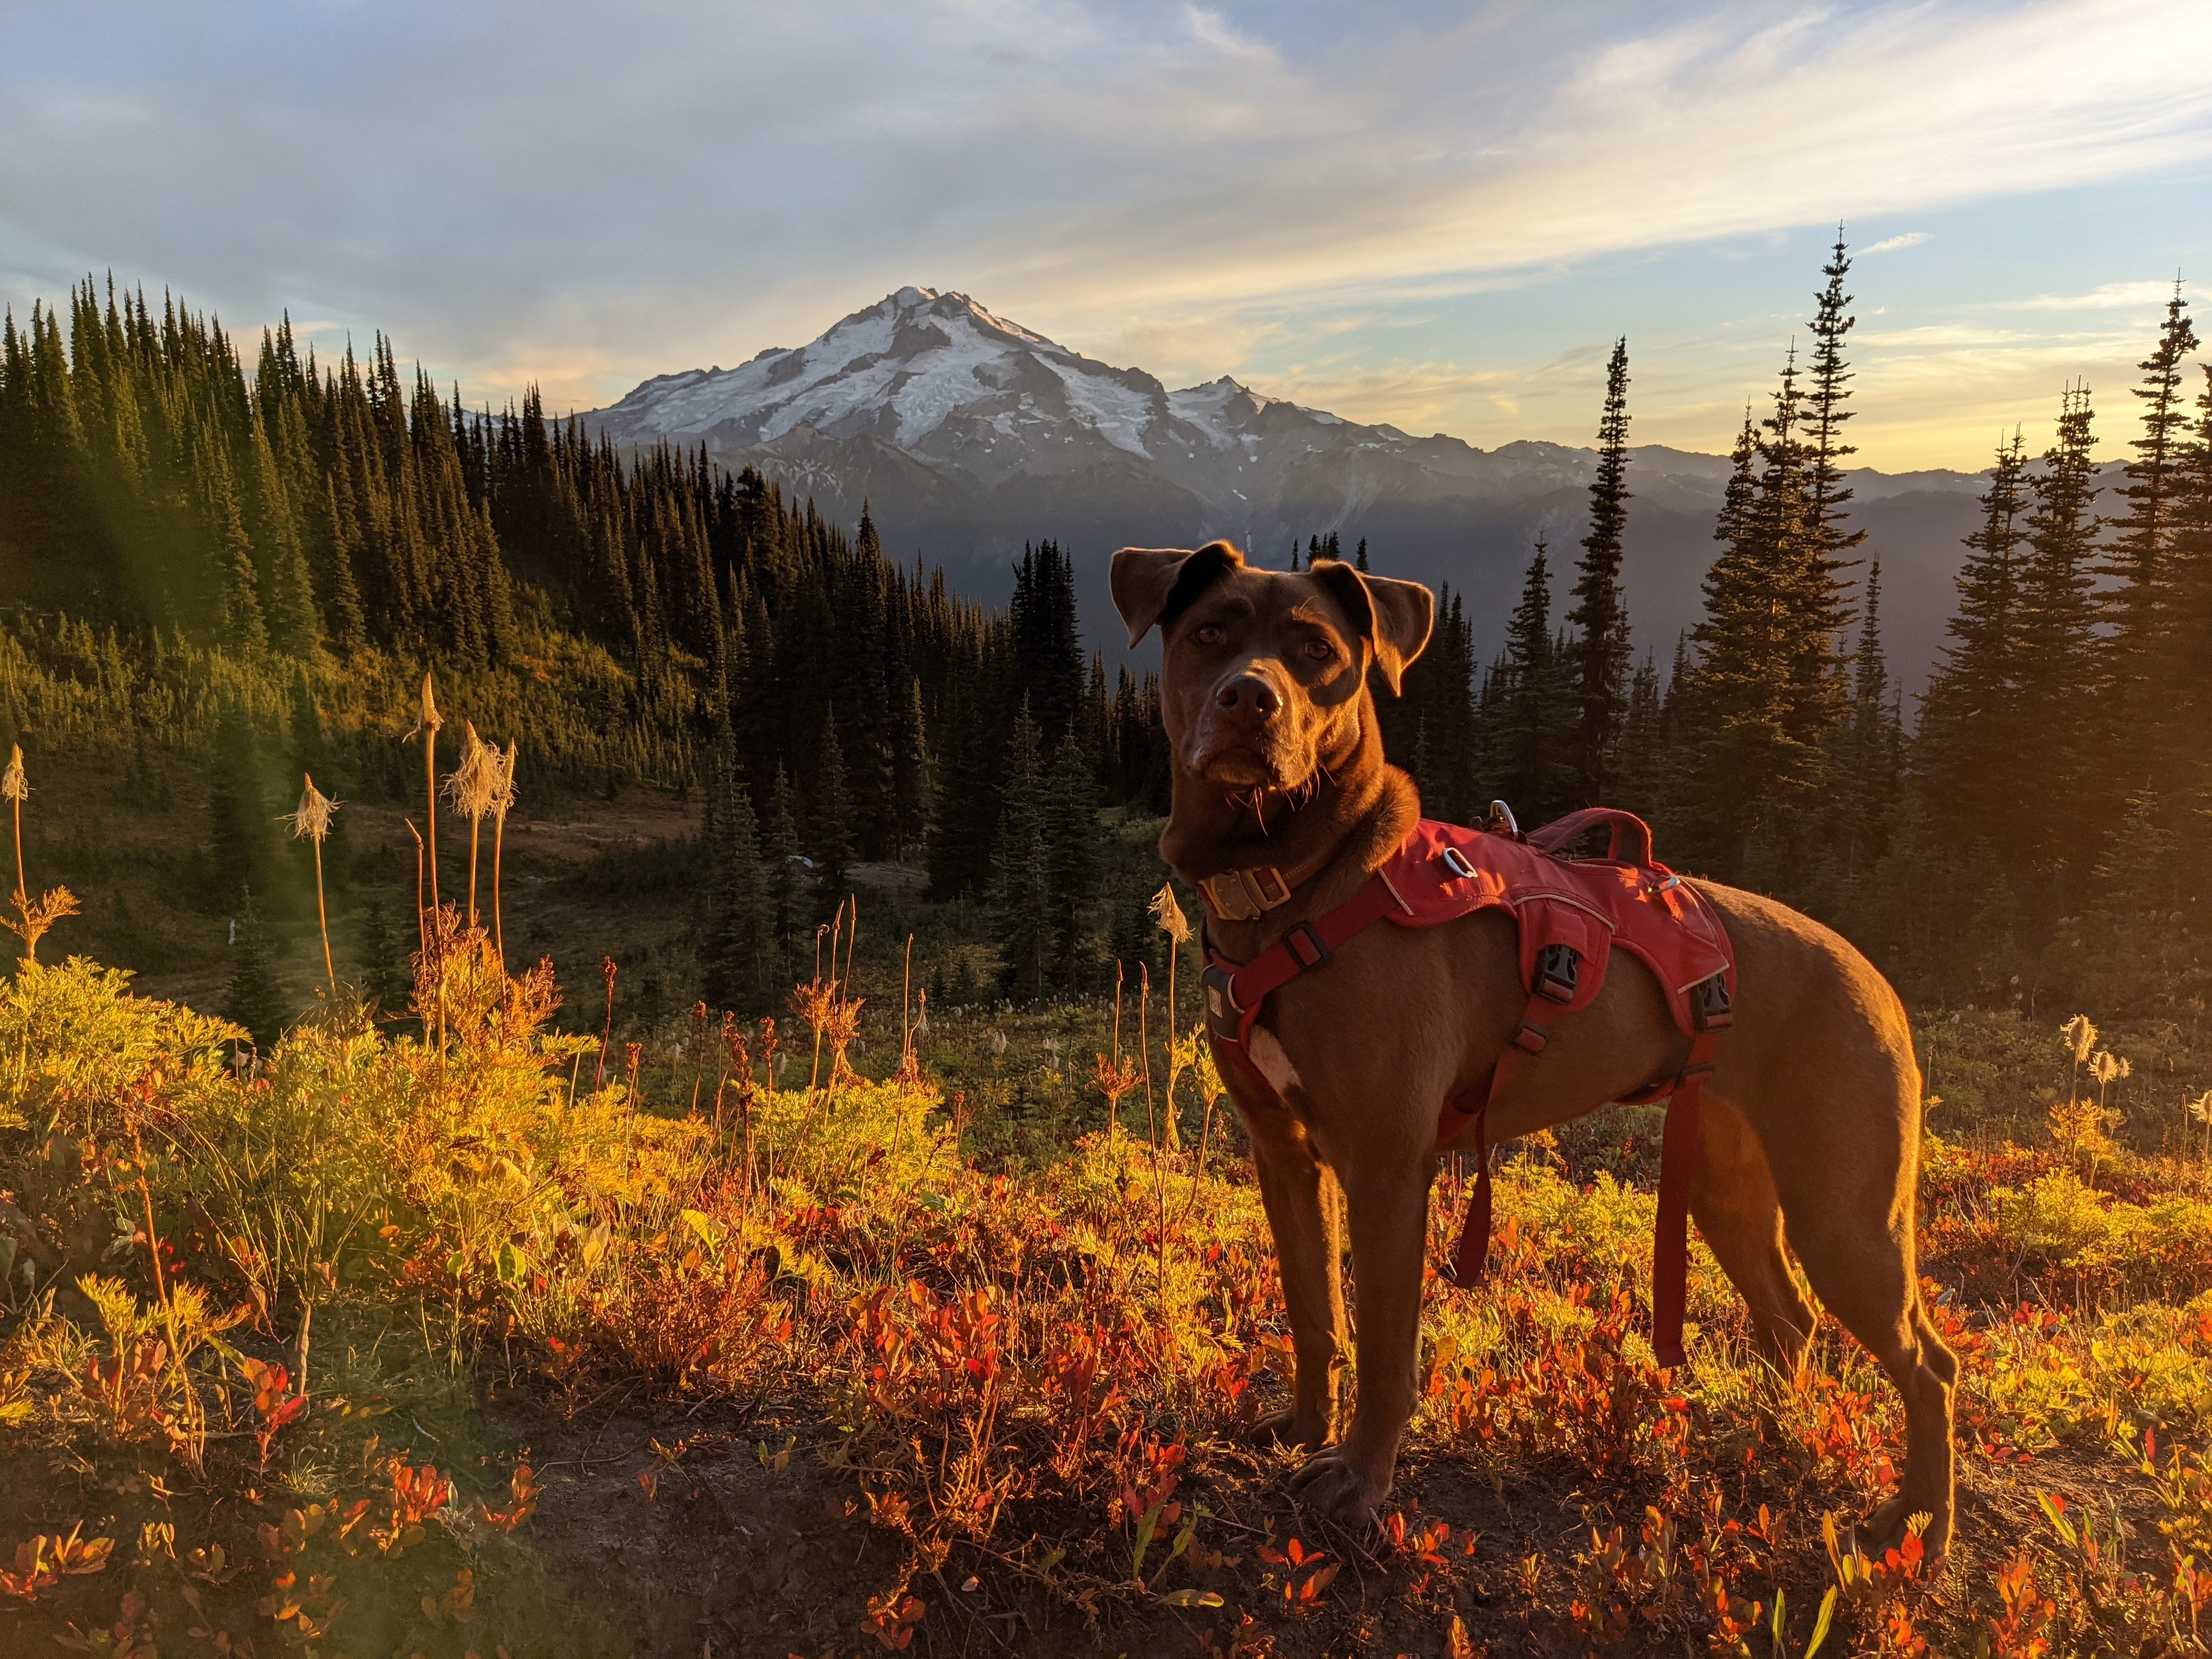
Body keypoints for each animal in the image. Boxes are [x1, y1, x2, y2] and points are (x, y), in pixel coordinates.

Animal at [1115, 539, 1964, 1557]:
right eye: (1210, 633)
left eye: (1316, 650)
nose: (1251, 700)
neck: (1294, 882)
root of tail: (1874, 977)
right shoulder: (1283, 1154)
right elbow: (1315, 1314)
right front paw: (1303, 1427)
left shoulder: (1387, 1168)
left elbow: (1386, 1348)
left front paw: (1360, 1481)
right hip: (1726, 1184)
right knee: (1789, 1317)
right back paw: (1755, 1441)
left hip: (1847, 1214)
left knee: (1929, 1363)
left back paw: (1918, 1521)